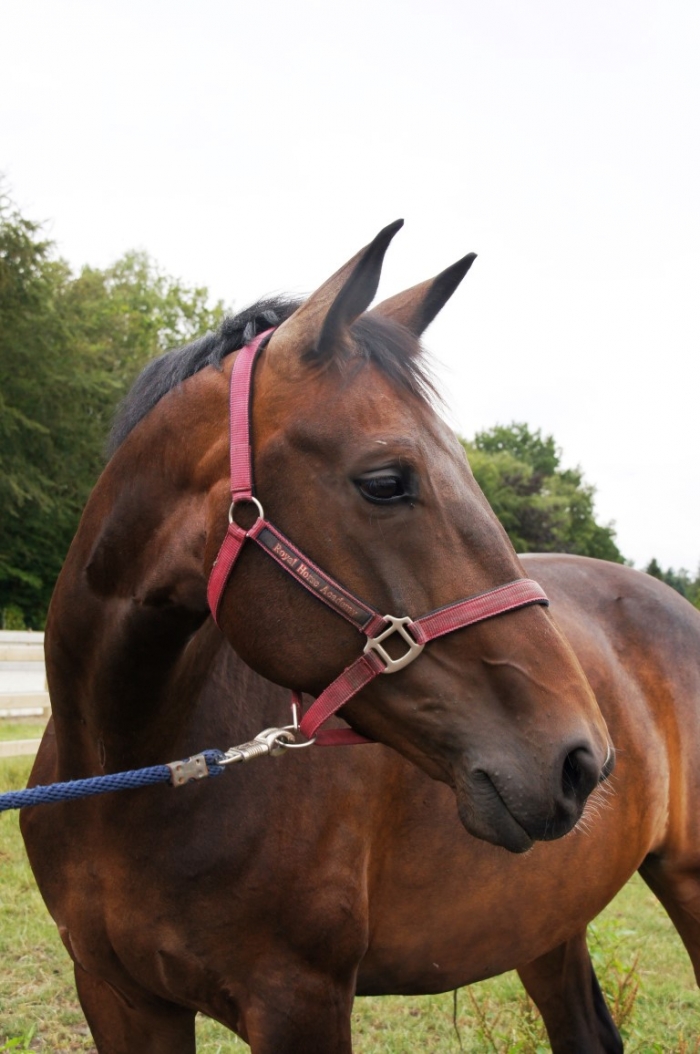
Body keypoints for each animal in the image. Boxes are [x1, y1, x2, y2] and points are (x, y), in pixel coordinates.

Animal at [17, 224, 700, 1054]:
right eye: (385, 481)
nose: (582, 761)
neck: (126, 777)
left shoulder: (299, 1001)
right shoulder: (118, 996)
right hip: (544, 919)